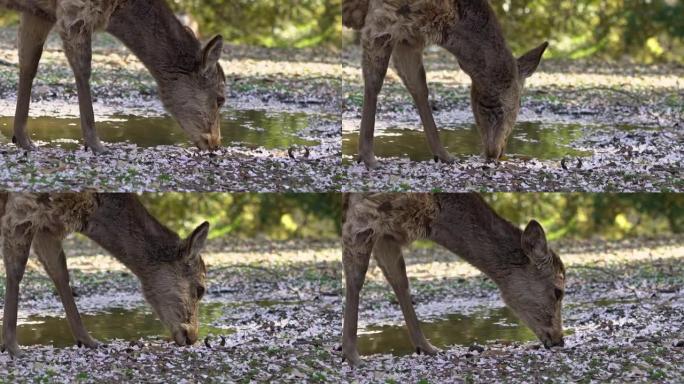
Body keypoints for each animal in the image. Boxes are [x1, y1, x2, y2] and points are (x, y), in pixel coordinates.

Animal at [0, 0, 227, 153]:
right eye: (220, 99)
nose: (216, 143)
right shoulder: (76, 10)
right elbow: (83, 68)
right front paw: (96, 144)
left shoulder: (39, 13)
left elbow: (29, 62)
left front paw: (23, 139)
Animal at [0, 194, 210, 358]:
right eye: (200, 289)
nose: (193, 336)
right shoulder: (24, 205)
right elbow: (16, 270)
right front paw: (12, 347)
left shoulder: (48, 226)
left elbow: (59, 272)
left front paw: (89, 341)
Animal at [342, 195, 568, 366]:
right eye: (558, 291)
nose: (559, 340)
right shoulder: (364, 209)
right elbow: (355, 277)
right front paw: (352, 356)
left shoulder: (389, 233)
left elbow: (399, 279)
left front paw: (427, 348)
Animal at [344, 0, 548, 168]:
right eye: (520, 103)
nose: (497, 153)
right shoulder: (383, 18)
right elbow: (374, 80)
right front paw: (367, 157)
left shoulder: (408, 39)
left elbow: (418, 86)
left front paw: (444, 155)